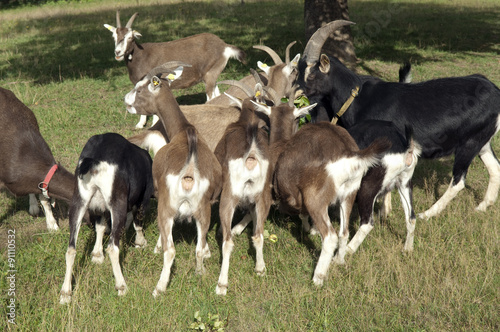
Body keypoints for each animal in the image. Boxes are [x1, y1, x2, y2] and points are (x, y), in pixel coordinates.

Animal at [59, 133, 152, 304]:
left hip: (79, 200)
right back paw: (122, 286)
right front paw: (141, 242)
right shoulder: (143, 197)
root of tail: (95, 159)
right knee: (113, 248)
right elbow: (138, 221)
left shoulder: (100, 207)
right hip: (118, 203)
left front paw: (96, 255)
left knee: (71, 249)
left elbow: (100, 226)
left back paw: (65, 293)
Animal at [105, 11, 246, 128]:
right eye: (114, 37)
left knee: (210, 96)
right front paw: (140, 124)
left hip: (210, 74)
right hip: (212, 75)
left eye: (130, 37)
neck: (141, 55)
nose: (118, 52)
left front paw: (152, 124)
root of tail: (224, 46)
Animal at [123, 61, 221, 296]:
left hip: (167, 209)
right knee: (197, 248)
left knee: (171, 251)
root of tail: (189, 170)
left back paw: (159, 288)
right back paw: (200, 273)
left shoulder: (161, 200)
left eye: (139, 88)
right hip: (203, 211)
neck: (183, 131)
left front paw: (157, 247)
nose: (125, 100)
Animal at [254, 96, 390, 286]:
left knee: (330, 236)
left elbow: (258, 230)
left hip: (316, 199)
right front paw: (309, 230)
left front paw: (259, 269)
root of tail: (348, 153)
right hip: (349, 193)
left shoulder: (266, 192)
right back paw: (338, 261)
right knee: (344, 232)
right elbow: (303, 214)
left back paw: (318, 278)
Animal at [296, 20, 500, 218]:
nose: (295, 94)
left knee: (459, 181)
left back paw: (428, 214)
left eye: (311, 74)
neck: (358, 97)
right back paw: (482, 207)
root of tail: (495, 91)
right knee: (495, 168)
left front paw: (384, 211)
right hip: (482, 140)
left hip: (469, 142)